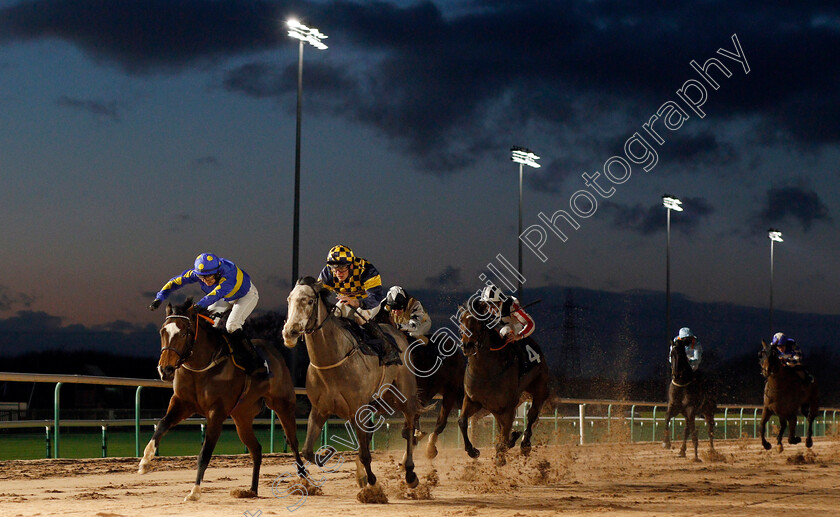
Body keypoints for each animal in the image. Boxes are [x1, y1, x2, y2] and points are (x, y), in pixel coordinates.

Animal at [139, 298, 304, 500]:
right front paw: (145, 462)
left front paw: (195, 491)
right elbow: (162, 424)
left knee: (293, 442)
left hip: (283, 405)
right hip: (242, 417)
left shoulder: (216, 412)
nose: (165, 370)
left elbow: (205, 452)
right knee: (256, 449)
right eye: (163, 332)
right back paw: (252, 490)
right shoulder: (182, 403)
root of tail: (275, 353)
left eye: (184, 333)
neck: (201, 366)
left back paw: (304, 480)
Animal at [282, 276, 420, 490]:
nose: (290, 332)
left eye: (310, 301)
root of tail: (397, 333)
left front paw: (372, 483)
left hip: (404, 395)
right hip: (380, 400)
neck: (332, 362)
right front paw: (325, 456)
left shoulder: (358, 411)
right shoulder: (319, 409)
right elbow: (307, 451)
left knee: (411, 424)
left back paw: (410, 473)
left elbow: (364, 453)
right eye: (289, 299)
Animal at [456, 300, 548, 466]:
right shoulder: (473, 400)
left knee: (532, 415)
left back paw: (524, 444)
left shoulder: (508, 405)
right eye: (461, 321)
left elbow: (506, 431)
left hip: (540, 389)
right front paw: (472, 451)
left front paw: (501, 455)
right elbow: (462, 421)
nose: (468, 346)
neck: (486, 371)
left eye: (478, 322)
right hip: (495, 408)